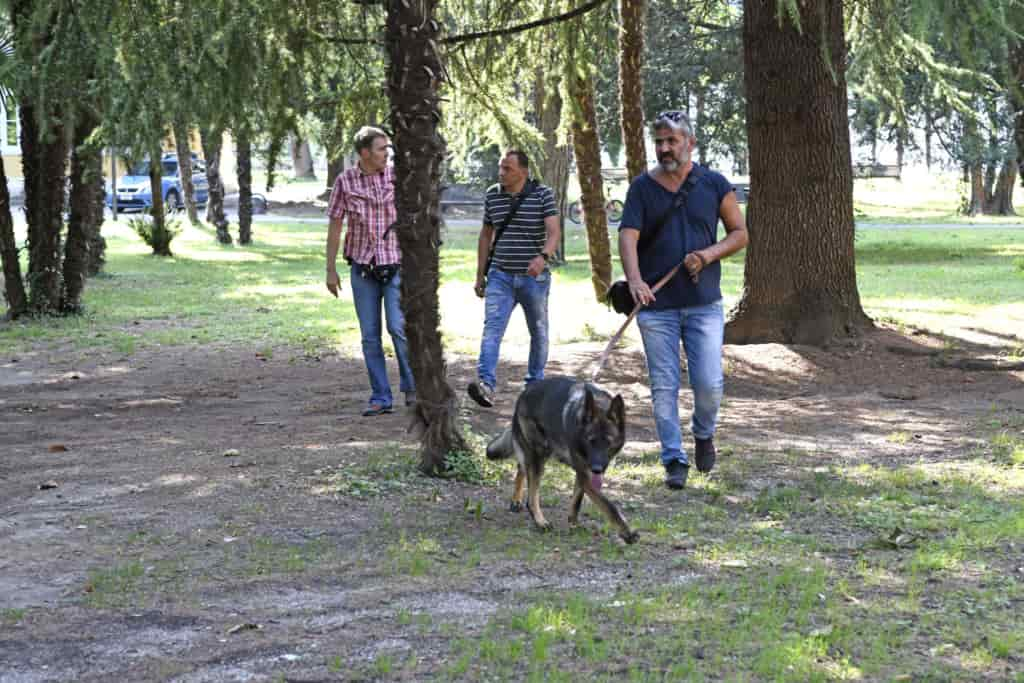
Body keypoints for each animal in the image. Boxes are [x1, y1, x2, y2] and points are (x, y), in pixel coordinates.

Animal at [483, 376, 634, 540]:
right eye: (591, 441)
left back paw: (516, 500)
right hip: (538, 457)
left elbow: (577, 501)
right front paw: (627, 532)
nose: (597, 469)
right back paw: (540, 521)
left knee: (521, 467)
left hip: (541, 453)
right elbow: (608, 505)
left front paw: (573, 524)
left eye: (608, 442)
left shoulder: (583, 474)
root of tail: (525, 391)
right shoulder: (585, 475)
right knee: (531, 497)